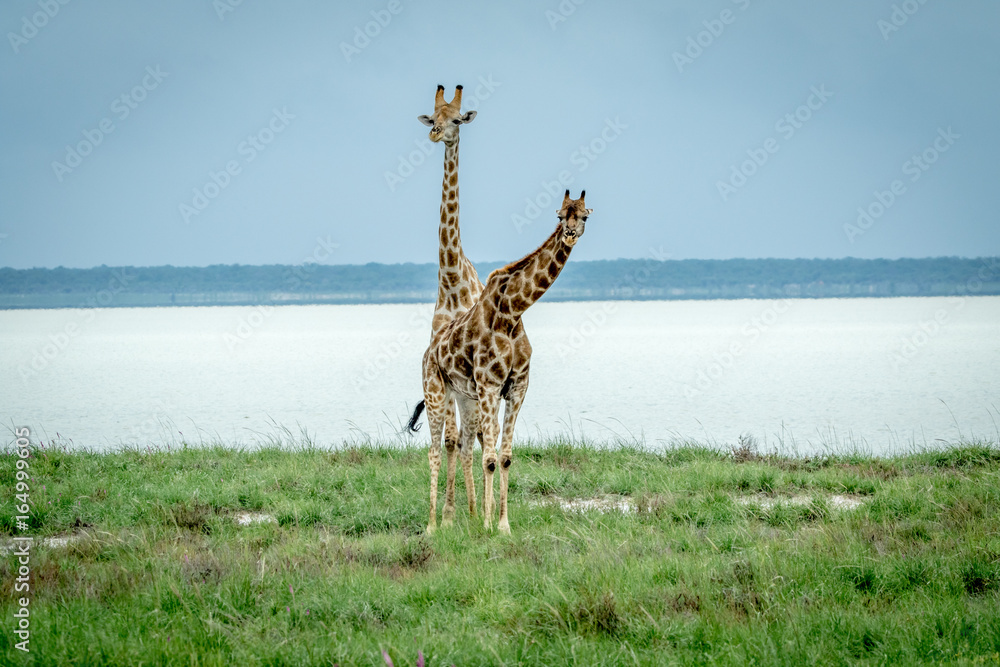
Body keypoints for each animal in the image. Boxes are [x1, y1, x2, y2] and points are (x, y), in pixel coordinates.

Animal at [411, 190, 592, 534]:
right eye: (560, 215)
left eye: (584, 215)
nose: (570, 234)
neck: (513, 310)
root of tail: (429, 350)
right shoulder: (490, 386)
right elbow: (490, 459)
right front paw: (486, 525)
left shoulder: (517, 386)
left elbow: (504, 457)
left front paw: (503, 525)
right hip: (435, 392)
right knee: (434, 451)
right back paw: (431, 526)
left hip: (463, 396)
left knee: (461, 445)